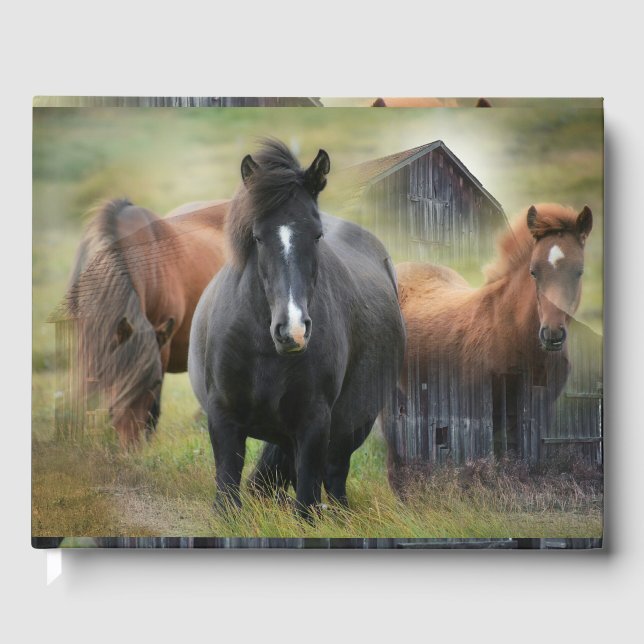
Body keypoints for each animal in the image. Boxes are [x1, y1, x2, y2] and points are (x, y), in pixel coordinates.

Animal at [188, 140, 405, 518]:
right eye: (258, 237)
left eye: (317, 235)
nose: (293, 331)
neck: (263, 349)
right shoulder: (223, 416)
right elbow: (228, 491)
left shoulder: (314, 423)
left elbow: (306, 502)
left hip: (351, 427)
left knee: (334, 476)